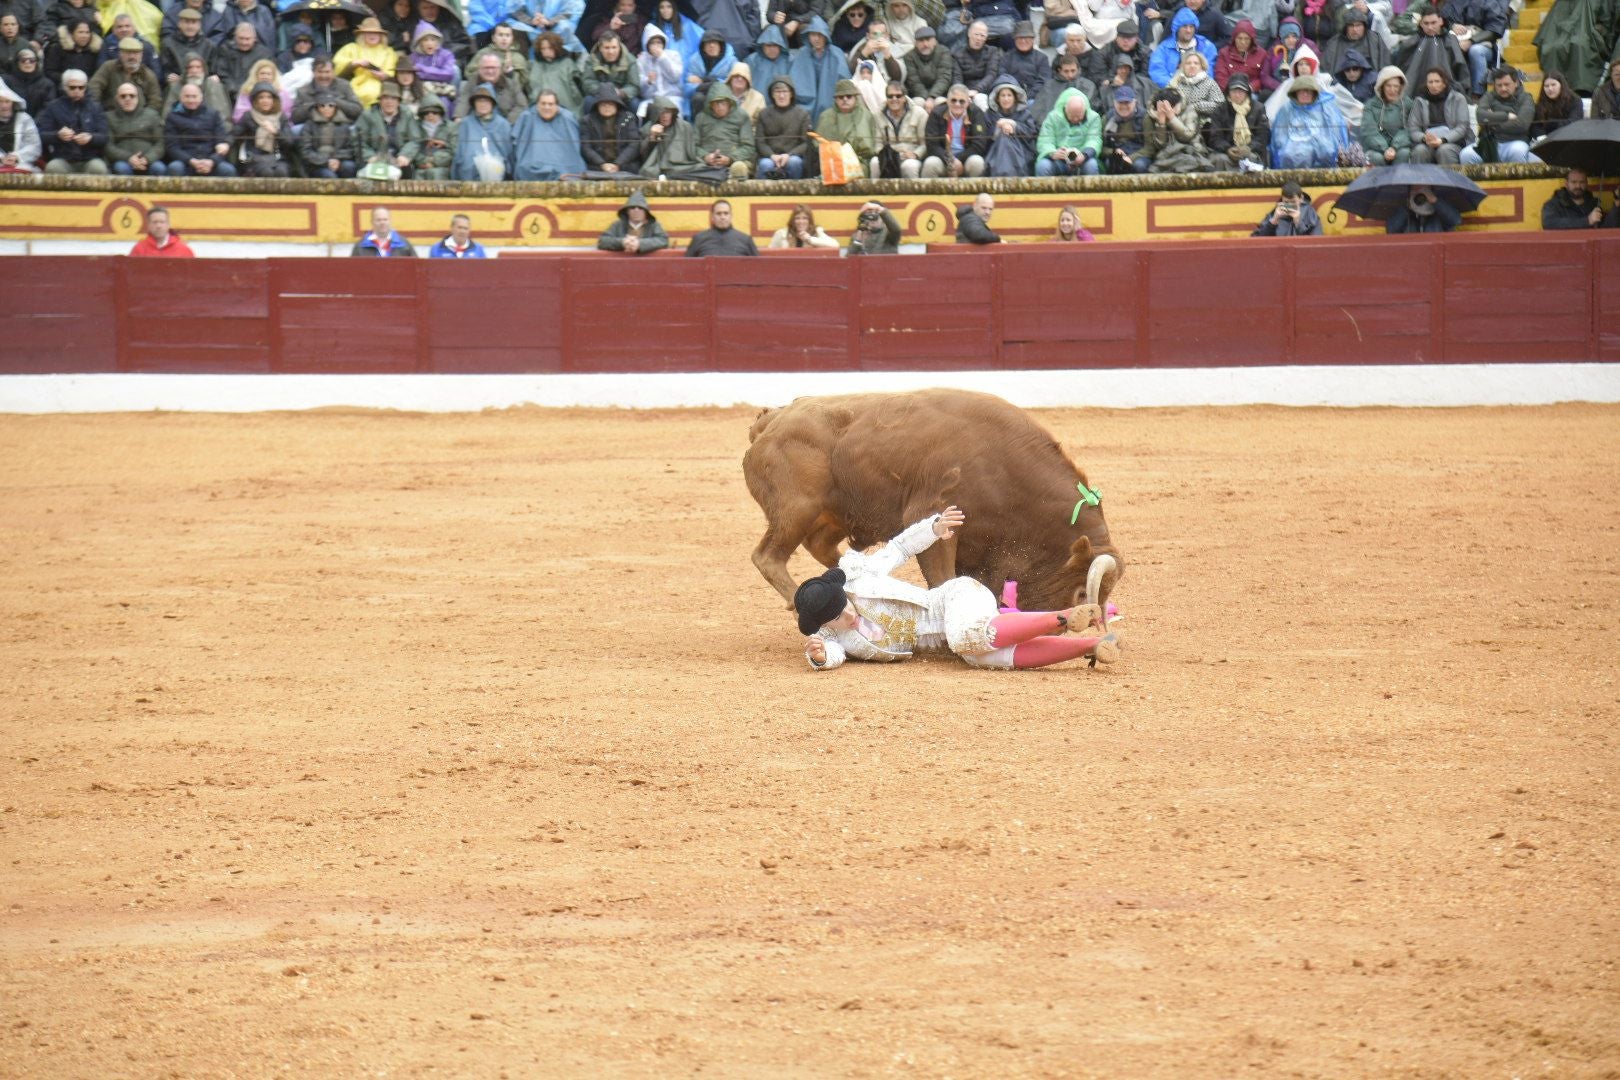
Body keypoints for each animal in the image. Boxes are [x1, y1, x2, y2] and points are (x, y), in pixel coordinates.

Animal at [741, 388, 1121, 615]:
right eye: (1081, 595)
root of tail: (771, 419)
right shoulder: (931, 515)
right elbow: (943, 579)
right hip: (796, 510)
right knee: (768, 557)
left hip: (832, 514)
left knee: (822, 545)